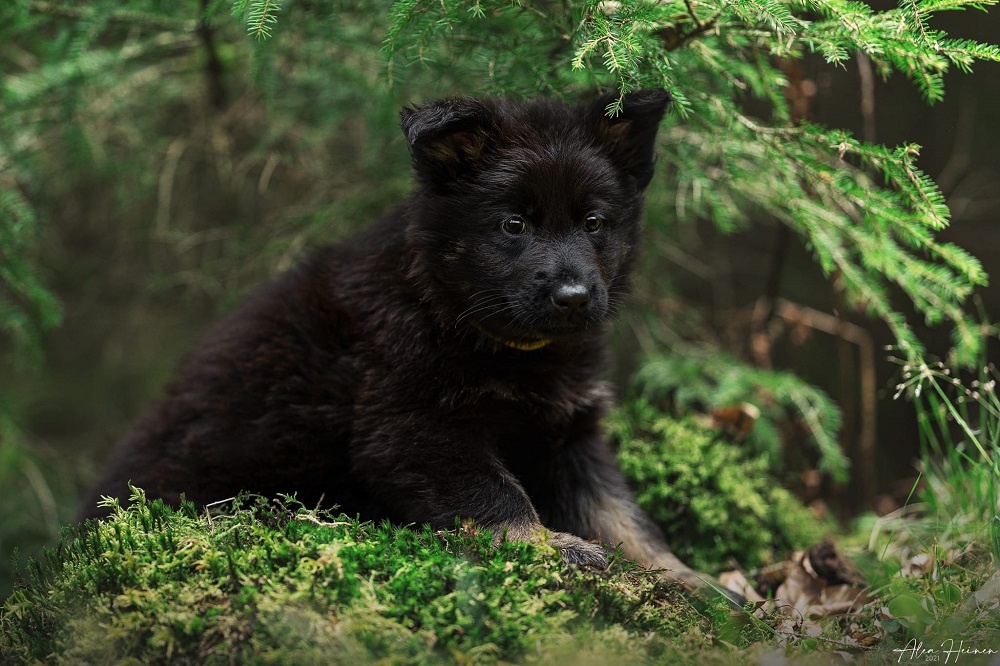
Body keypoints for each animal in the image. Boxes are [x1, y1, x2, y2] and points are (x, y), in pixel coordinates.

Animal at [84, 87, 728, 592]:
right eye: (512, 224)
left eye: (594, 223)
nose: (573, 297)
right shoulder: (410, 427)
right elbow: (498, 497)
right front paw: (550, 547)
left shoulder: (568, 431)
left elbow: (619, 511)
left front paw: (686, 576)